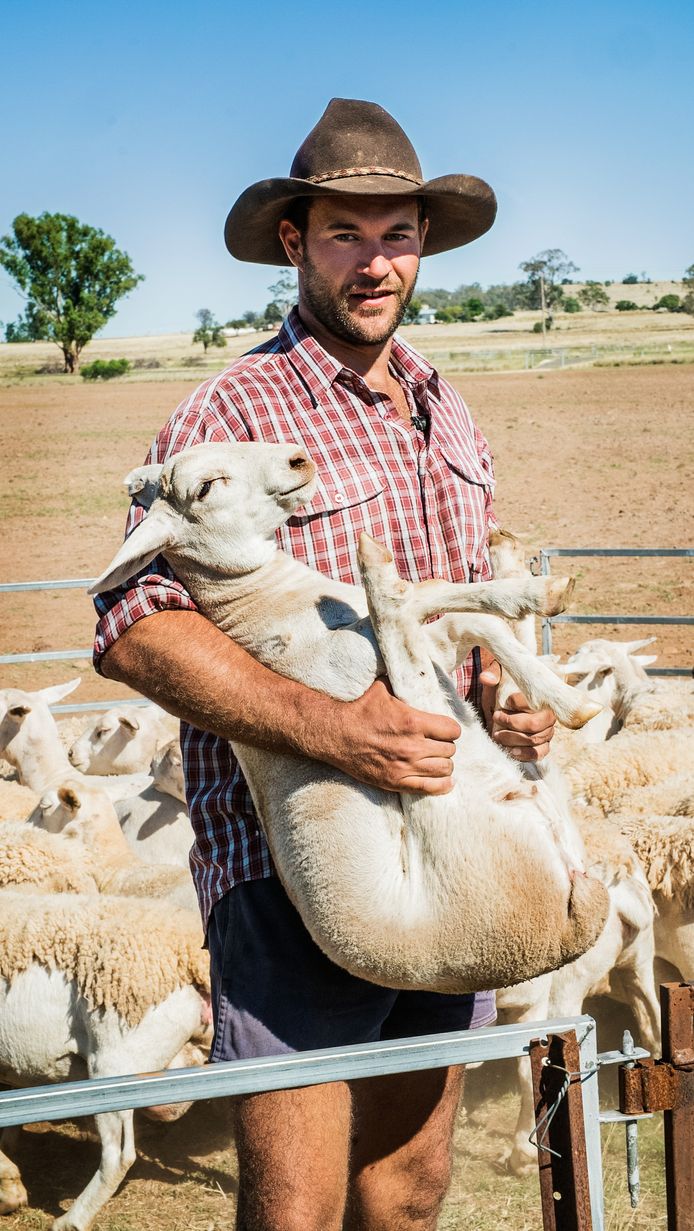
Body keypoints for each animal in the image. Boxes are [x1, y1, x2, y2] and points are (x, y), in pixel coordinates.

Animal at [89, 438, 610, 994]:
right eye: (206, 487)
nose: (298, 459)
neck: (258, 604)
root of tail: (565, 931)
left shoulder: (434, 648)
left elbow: (470, 621)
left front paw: (560, 687)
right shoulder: (357, 665)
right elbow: (431, 599)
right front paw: (533, 596)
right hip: (459, 810)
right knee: (398, 629)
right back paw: (377, 568)